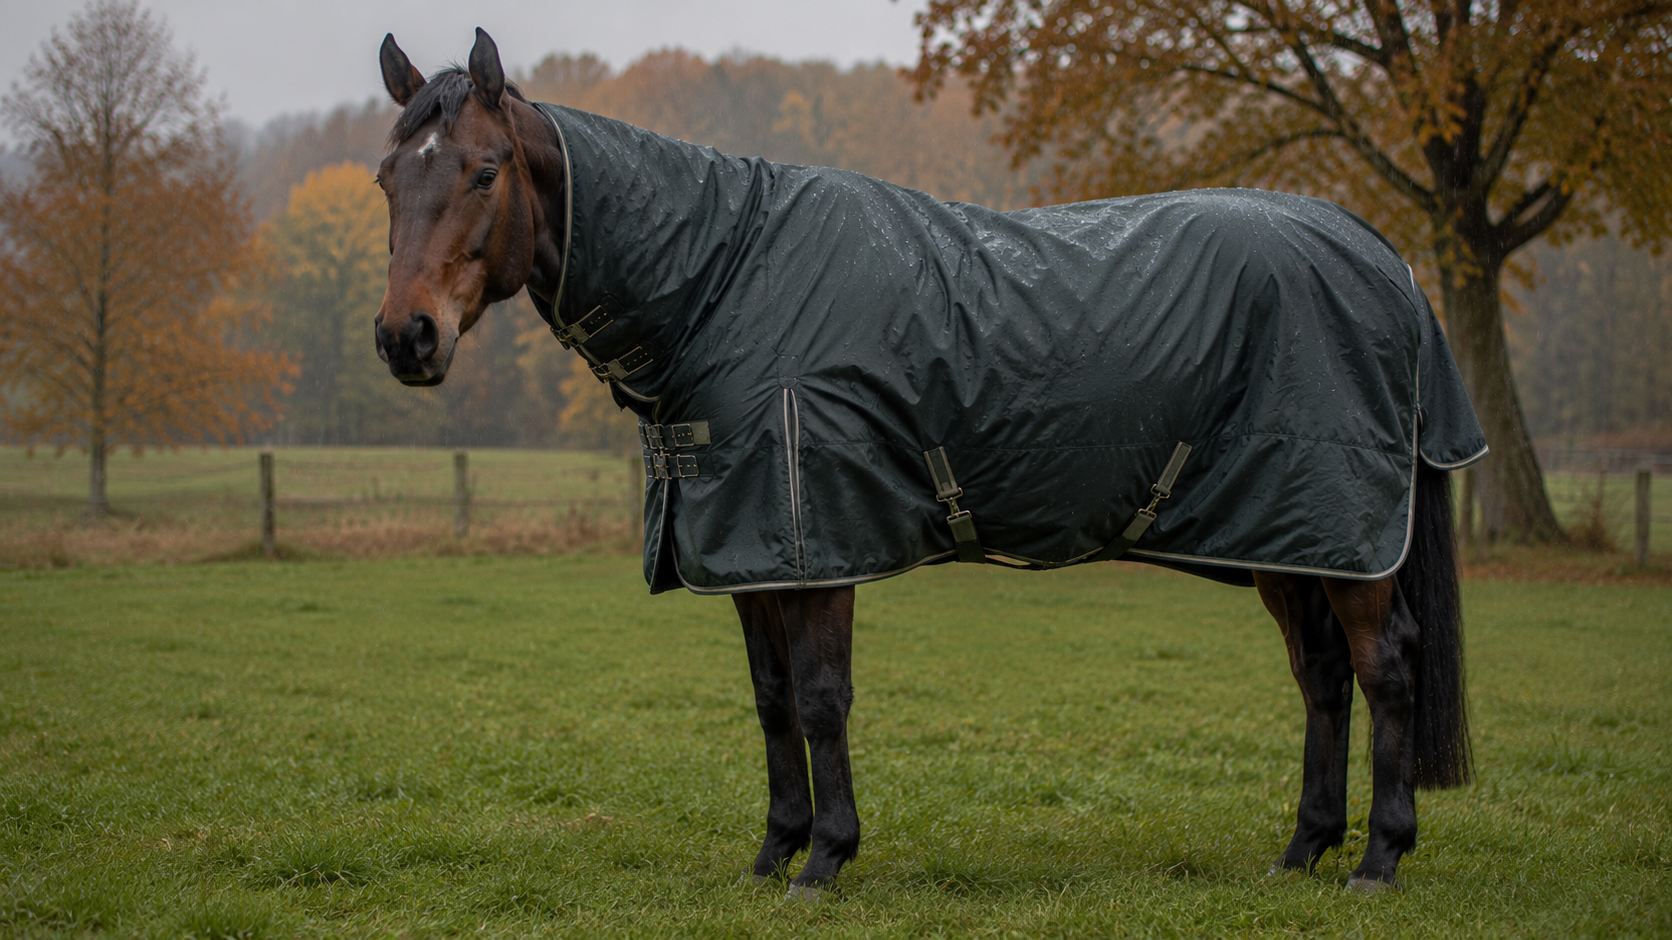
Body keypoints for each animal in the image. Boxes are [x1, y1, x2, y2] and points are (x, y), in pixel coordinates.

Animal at [372, 28, 1483, 899]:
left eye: (482, 170)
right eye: (389, 179)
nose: (405, 338)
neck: (724, 278)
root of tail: (1383, 258)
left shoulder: (816, 545)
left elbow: (821, 698)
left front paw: (827, 859)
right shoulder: (747, 553)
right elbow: (771, 699)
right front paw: (773, 852)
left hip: (1344, 536)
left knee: (1385, 669)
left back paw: (1377, 860)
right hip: (1291, 537)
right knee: (1322, 677)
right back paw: (1300, 851)